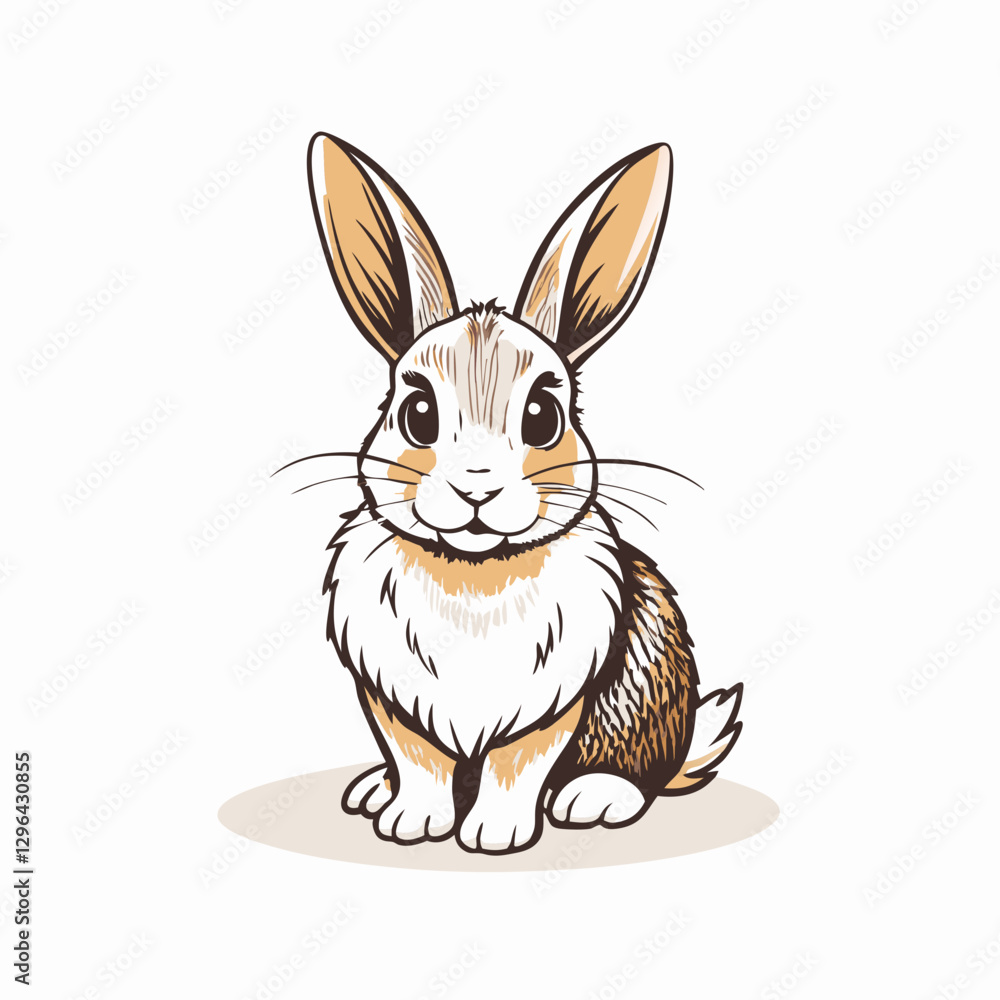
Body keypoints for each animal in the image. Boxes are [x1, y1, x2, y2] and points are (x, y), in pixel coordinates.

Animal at [299, 133, 743, 854]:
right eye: (416, 413)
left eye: (542, 417)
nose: (476, 489)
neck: (473, 568)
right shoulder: (397, 706)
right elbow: (421, 764)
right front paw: (409, 824)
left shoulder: (550, 709)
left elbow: (517, 769)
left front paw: (496, 838)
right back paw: (374, 791)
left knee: (643, 769)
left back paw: (595, 798)